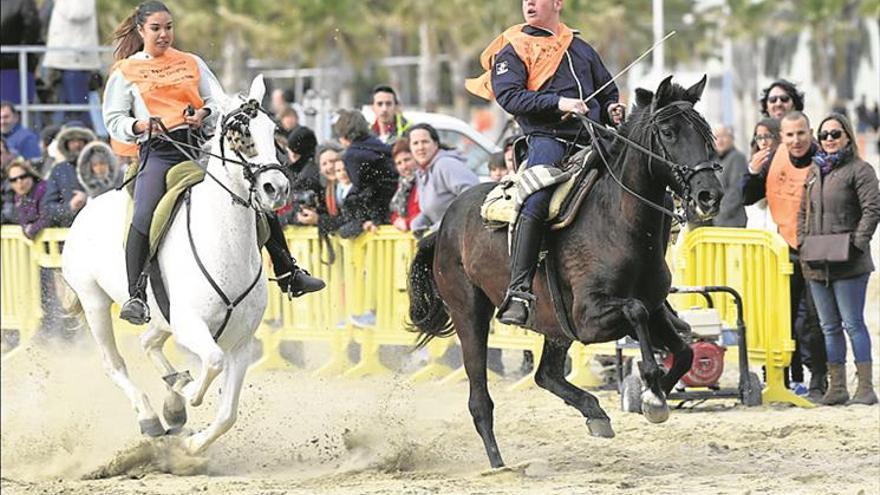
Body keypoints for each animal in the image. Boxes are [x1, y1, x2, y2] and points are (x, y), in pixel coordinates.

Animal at [62, 75, 288, 456]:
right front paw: (185, 392)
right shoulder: (190, 325)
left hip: (162, 318)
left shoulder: (241, 343)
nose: (277, 188)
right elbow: (211, 363)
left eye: (273, 131)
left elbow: (227, 414)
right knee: (114, 363)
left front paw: (192, 443)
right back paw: (152, 417)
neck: (224, 244)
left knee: (148, 342)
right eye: (240, 135)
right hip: (95, 303)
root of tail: (88, 206)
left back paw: (172, 403)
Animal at [410, 77, 724, 468]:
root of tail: (442, 227)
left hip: (553, 326)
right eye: (668, 132)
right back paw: (498, 463)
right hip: (470, 314)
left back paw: (595, 413)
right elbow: (634, 311)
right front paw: (652, 391)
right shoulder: (589, 318)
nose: (710, 195)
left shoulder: (652, 311)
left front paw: (656, 397)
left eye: (707, 133)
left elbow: (683, 352)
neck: (618, 221)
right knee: (480, 398)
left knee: (546, 374)